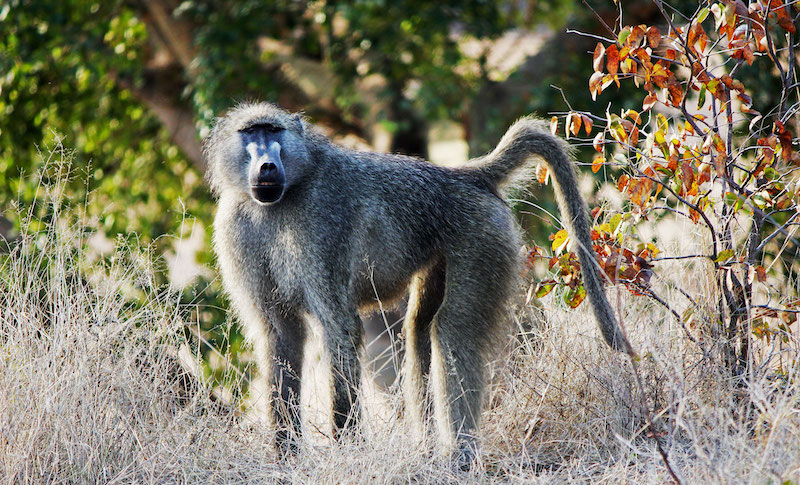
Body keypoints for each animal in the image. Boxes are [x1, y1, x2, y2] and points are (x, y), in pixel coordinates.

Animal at [204, 102, 633, 464]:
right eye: (251, 132)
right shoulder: (236, 226)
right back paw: (426, 448)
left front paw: (349, 451)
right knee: (418, 330)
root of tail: (462, 175)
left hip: (483, 238)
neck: (279, 201)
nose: (266, 165)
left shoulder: (321, 224)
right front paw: (286, 455)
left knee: (453, 330)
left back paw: (460, 457)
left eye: (272, 130)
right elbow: (281, 336)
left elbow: (340, 330)